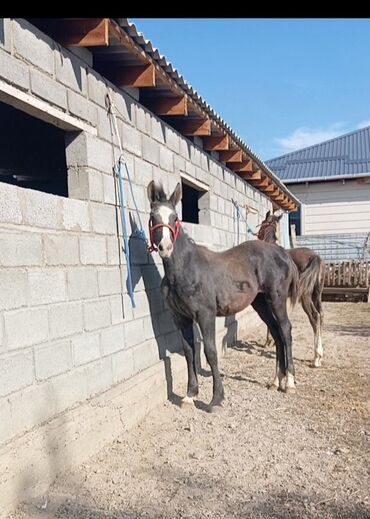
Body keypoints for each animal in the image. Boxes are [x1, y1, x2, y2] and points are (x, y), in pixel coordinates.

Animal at [146, 181, 300, 412]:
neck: (185, 269)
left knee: (285, 330)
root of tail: (282, 253)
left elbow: (210, 352)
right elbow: (189, 352)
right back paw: (276, 381)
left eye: (174, 217)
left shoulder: (205, 315)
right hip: (261, 303)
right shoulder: (181, 318)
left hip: (277, 299)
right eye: (153, 216)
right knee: (276, 332)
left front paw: (216, 399)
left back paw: (289, 382)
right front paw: (190, 396)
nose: (165, 247)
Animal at [258, 212, 326, 370]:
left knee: (314, 317)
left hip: (305, 296)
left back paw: (316, 358)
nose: (257, 235)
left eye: (263, 223)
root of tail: (315, 257)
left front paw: (268, 341)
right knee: (320, 315)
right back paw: (319, 355)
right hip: (316, 295)